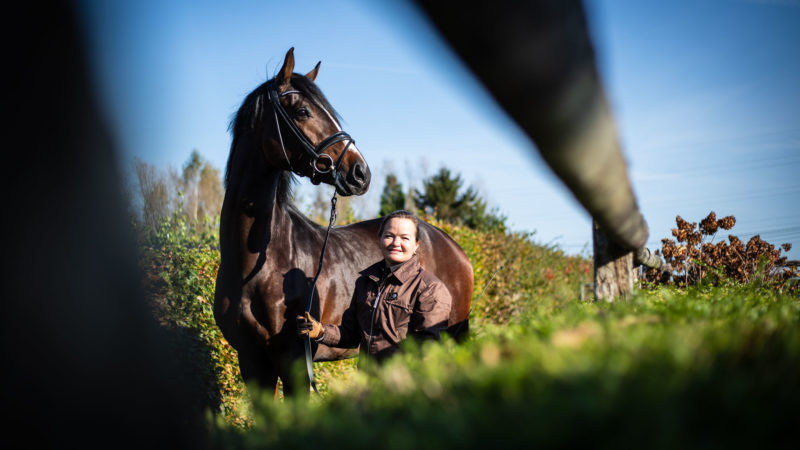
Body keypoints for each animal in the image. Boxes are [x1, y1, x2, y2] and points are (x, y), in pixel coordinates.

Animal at [214, 47, 476, 396]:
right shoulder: (252, 360)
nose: (361, 172)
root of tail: (456, 249)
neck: (255, 267)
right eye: (302, 111)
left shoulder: (294, 361)